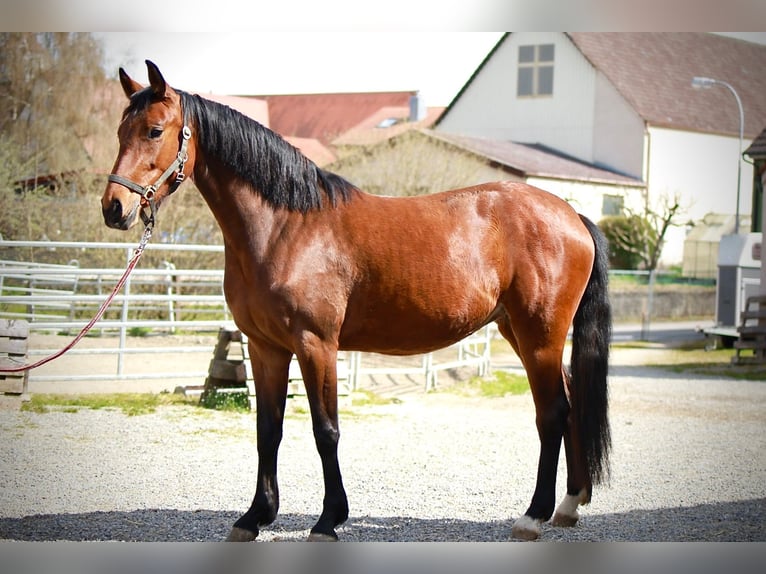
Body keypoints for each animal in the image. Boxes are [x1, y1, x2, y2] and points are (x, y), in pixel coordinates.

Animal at [102, 60, 611, 542]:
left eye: (155, 130)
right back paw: (569, 504)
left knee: (553, 413)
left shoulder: (316, 345)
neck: (286, 227)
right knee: (569, 404)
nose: (113, 208)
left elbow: (325, 431)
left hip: (539, 334)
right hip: (519, 331)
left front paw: (329, 520)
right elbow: (269, 430)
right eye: (120, 131)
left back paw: (533, 516)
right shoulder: (266, 348)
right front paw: (255, 517)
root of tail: (572, 215)